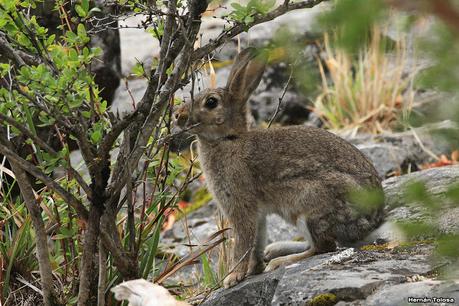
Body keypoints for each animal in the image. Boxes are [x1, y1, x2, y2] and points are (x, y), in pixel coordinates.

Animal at [174, 48, 386, 290]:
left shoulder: (240, 205)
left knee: (324, 247)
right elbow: (256, 242)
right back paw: (275, 252)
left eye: (211, 102)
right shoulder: (258, 215)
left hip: (309, 206)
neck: (229, 139)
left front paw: (232, 278)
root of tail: (373, 220)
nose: (177, 115)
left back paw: (281, 261)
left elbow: (243, 243)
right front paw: (252, 270)